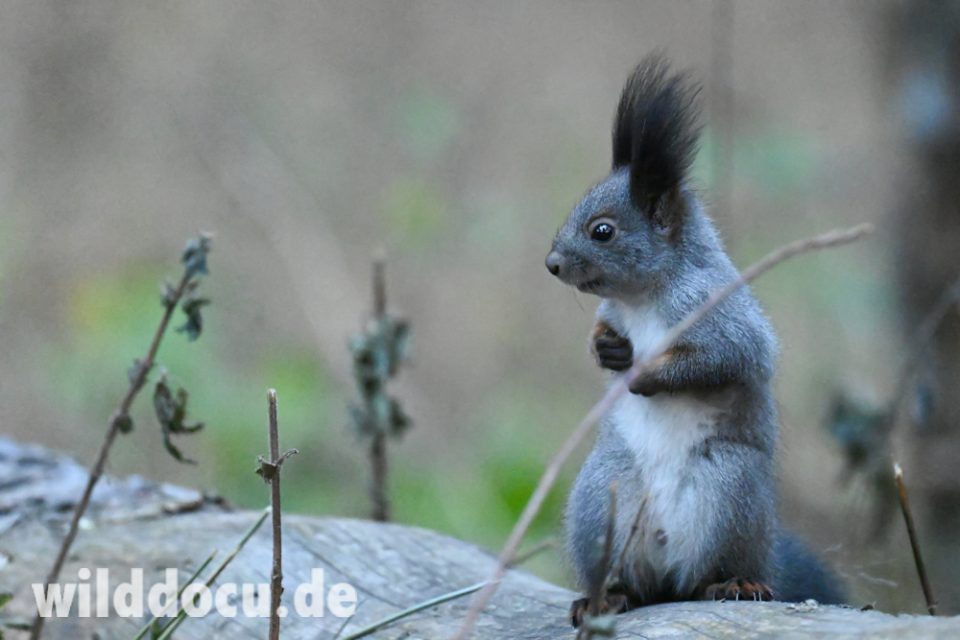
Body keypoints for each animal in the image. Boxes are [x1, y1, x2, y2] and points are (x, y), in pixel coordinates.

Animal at [544, 55, 845, 626]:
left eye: (602, 231)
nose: (550, 264)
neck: (641, 297)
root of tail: (665, 571)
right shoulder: (612, 311)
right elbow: (600, 332)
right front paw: (608, 351)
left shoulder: (721, 313)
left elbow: (731, 357)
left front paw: (647, 372)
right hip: (599, 498)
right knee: (629, 579)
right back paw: (603, 595)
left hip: (728, 489)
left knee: (710, 573)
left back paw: (733, 583)